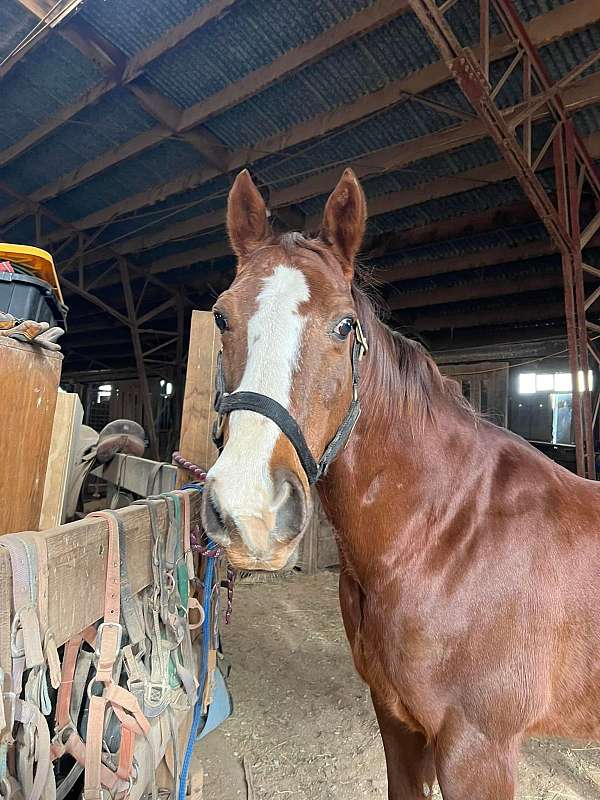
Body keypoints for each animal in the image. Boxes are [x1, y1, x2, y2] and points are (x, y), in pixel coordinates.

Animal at [201, 167, 600, 799]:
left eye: (344, 326)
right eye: (221, 316)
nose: (250, 513)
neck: (445, 538)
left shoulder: (477, 751)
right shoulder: (396, 721)